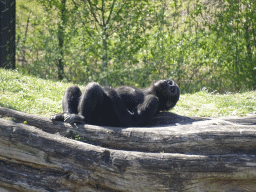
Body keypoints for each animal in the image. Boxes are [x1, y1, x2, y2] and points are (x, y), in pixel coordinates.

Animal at [50, 79, 180, 127]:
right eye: (171, 85)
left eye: (172, 89)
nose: (169, 82)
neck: (150, 91)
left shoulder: (153, 101)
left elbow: (132, 120)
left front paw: (107, 89)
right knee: (73, 88)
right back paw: (64, 114)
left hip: (97, 119)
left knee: (93, 87)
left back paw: (82, 118)